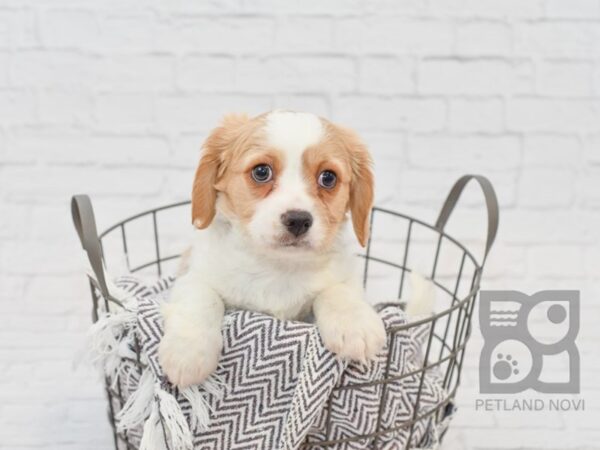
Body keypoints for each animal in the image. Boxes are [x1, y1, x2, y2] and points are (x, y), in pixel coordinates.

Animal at [158, 110, 384, 388]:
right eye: (261, 172)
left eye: (328, 177)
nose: (298, 220)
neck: (278, 266)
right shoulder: (192, 275)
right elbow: (202, 298)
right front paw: (188, 352)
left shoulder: (345, 277)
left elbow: (337, 290)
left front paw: (355, 324)